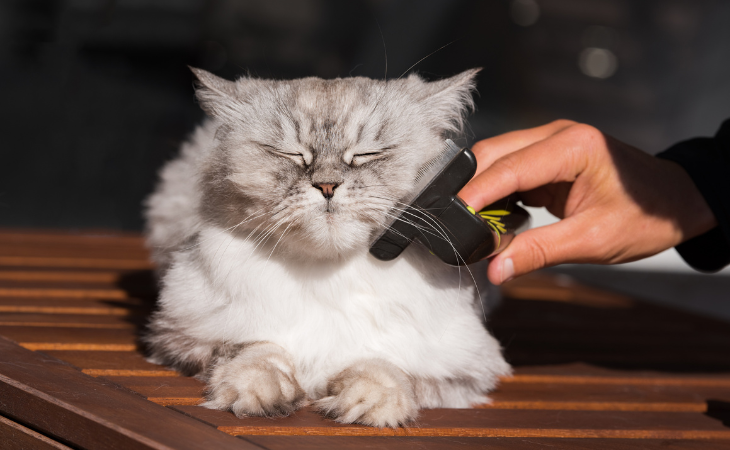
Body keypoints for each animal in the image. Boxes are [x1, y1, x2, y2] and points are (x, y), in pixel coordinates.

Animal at [142, 66, 506, 426]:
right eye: (291, 154)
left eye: (366, 154)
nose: (328, 186)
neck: (328, 279)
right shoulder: (179, 337)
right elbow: (257, 351)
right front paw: (262, 394)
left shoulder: (463, 371)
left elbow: (385, 367)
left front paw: (367, 404)